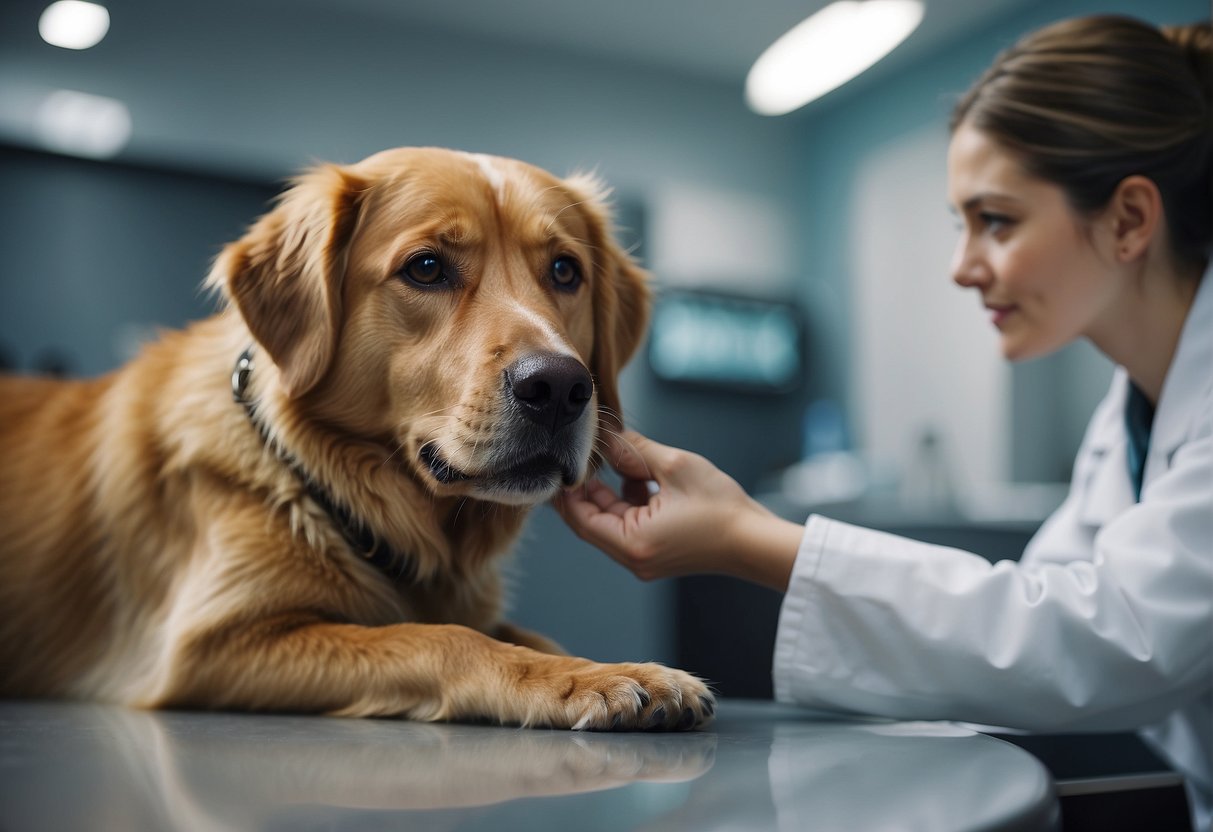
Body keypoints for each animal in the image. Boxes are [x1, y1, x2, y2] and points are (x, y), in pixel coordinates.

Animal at [0, 146, 713, 732]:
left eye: (565, 272)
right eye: (426, 268)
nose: (562, 387)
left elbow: (531, 636)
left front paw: (607, 668)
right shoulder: (206, 644)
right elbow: (442, 637)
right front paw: (584, 682)